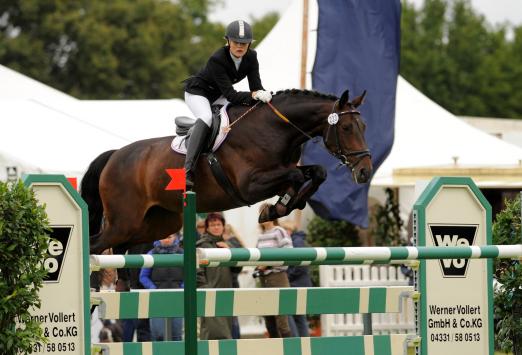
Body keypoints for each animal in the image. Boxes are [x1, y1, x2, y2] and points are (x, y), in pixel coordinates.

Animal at [80, 88, 370, 256]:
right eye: (346, 128)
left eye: (364, 127)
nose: (365, 171)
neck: (274, 130)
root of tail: (114, 155)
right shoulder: (249, 186)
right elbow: (296, 177)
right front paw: (277, 207)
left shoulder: (282, 171)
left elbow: (317, 172)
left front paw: (280, 207)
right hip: (123, 221)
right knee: (96, 245)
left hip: (157, 223)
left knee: (120, 249)